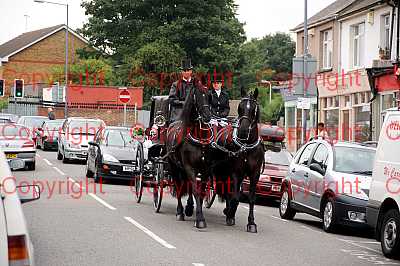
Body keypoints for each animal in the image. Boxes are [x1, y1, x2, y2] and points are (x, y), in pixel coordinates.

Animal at [166, 81, 214, 229]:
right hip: (174, 167)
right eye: (197, 96)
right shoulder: (189, 167)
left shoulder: (205, 169)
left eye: (209, 96)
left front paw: (198, 214)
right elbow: (195, 190)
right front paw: (199, 219)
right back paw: (180, 212)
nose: (207, 116)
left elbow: (200, 191)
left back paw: (188, 207)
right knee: (178, 186)